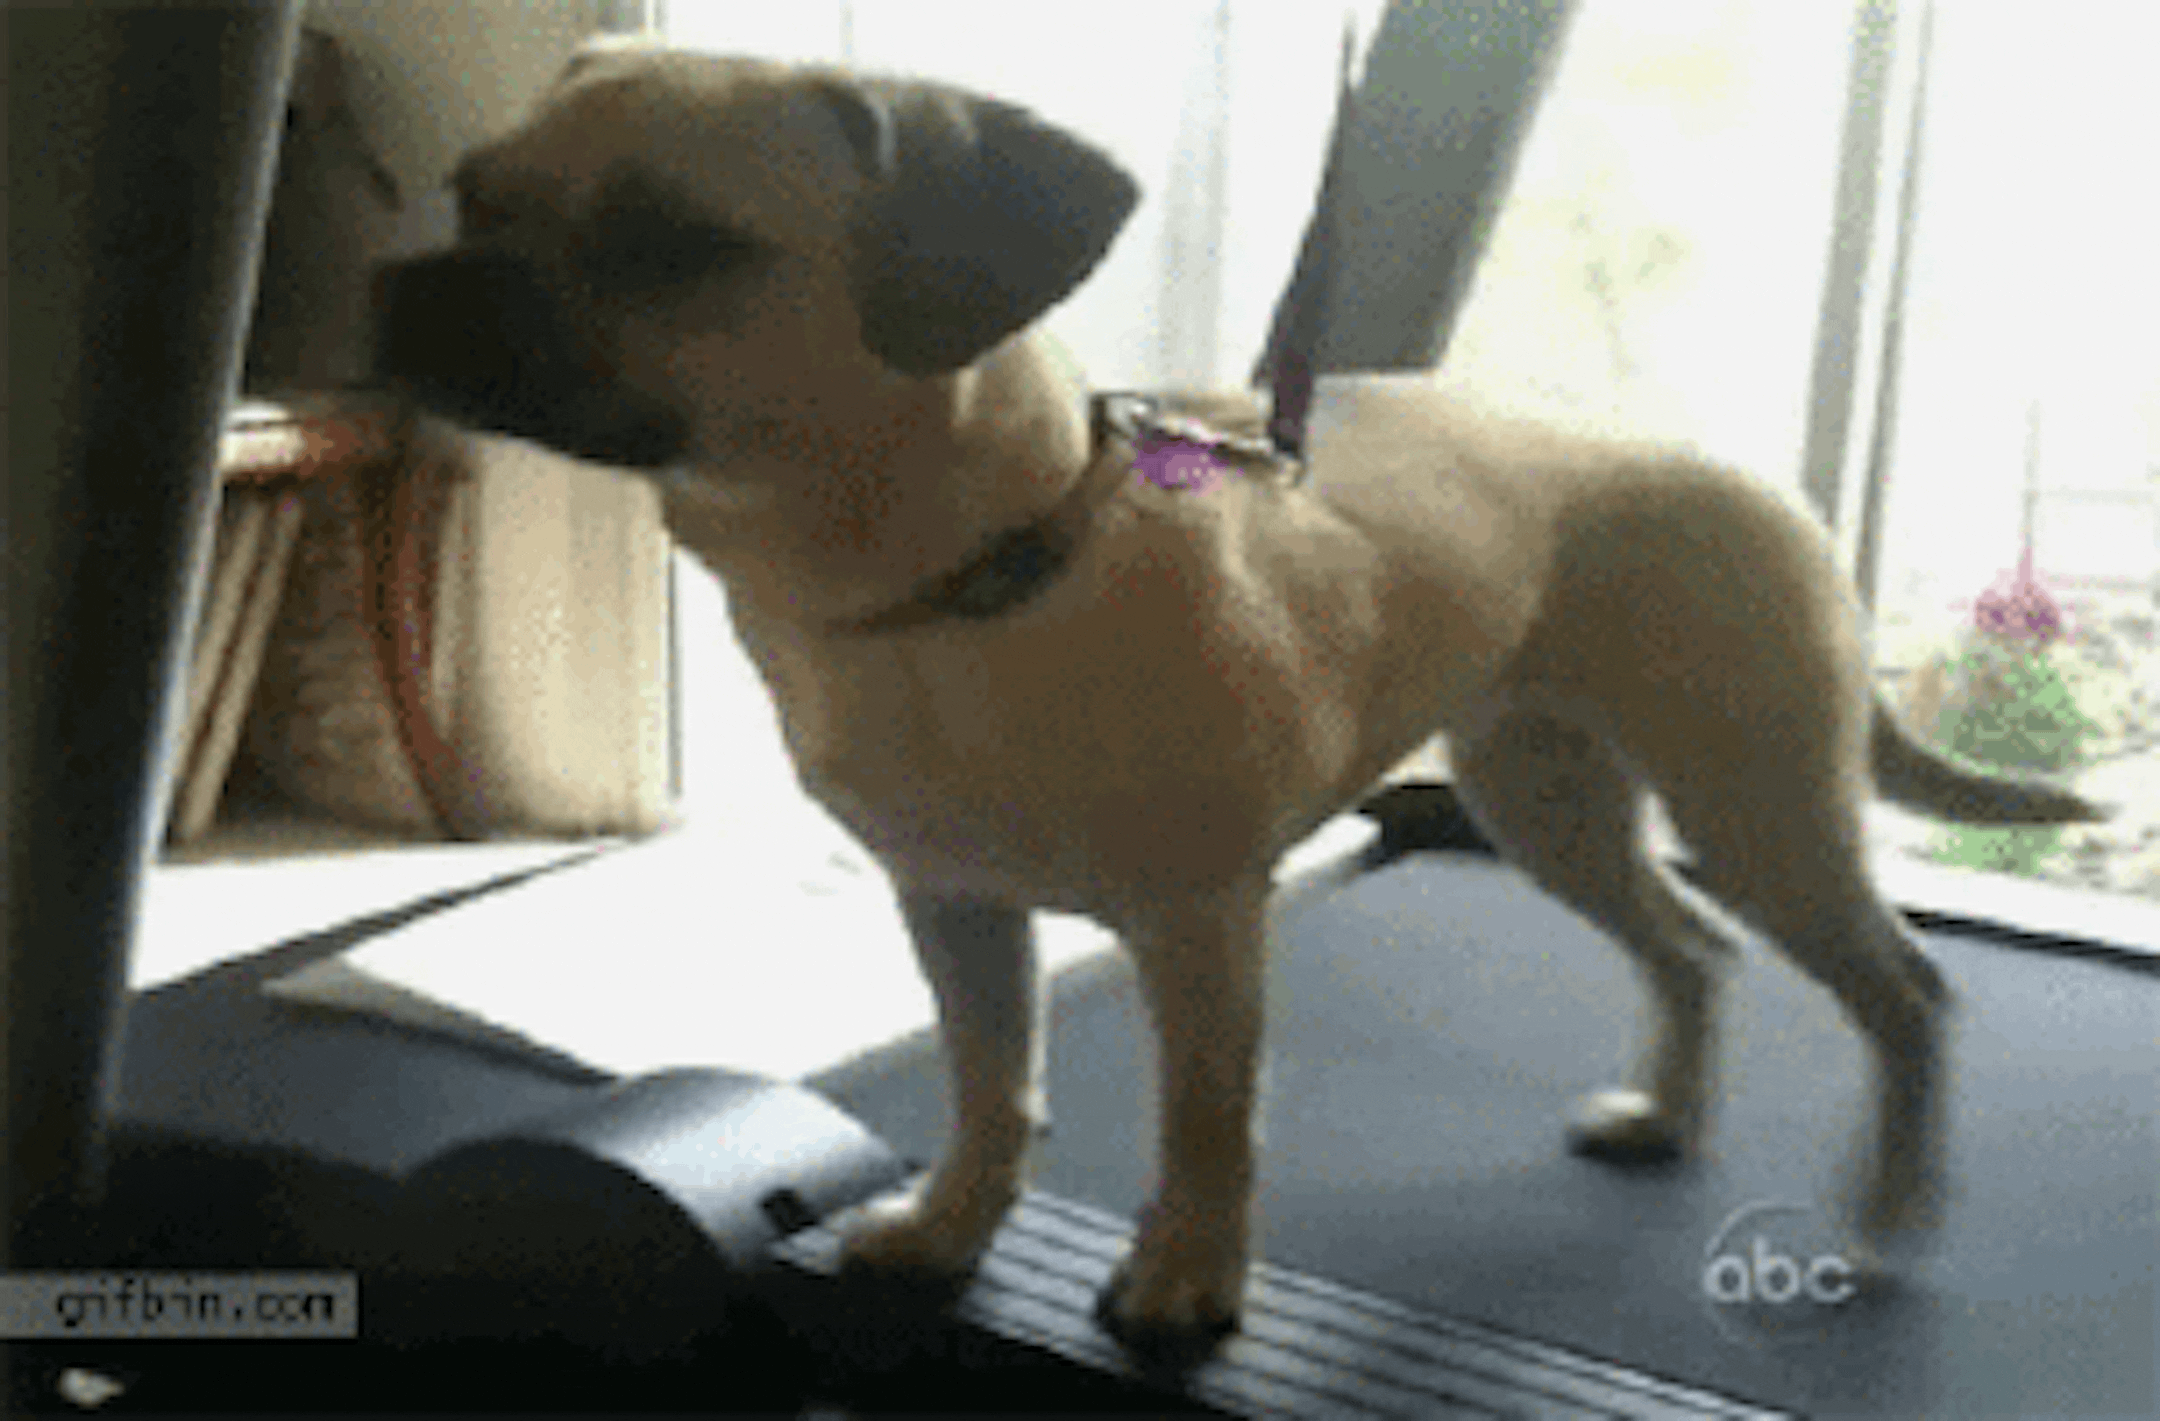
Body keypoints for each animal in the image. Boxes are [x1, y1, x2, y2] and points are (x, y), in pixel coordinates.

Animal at [373, 44, 2108, 1358]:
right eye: (472, 192)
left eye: (672, 243)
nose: (408, 285)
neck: (979, 580)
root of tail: (1752, 478)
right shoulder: (955, 909)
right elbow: (990, 1086)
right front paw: (953, 1225)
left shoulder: (1203, 926)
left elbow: (1208, 1121)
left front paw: (1189, 1276)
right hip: (1546, 799)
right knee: (1690, 948)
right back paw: (1669, 1118)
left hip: (1759, 807)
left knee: (1906, 993)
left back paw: (1889, 1209)